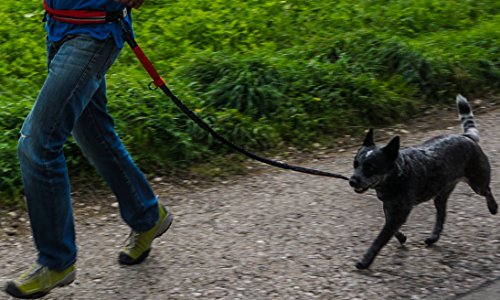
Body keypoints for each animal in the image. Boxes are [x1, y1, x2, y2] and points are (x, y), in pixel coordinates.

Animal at [350, 95, 498, 270]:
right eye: (355, 164)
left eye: (370, 167)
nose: (352, 181)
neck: (397, 174)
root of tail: (466, 137)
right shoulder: (389, 207)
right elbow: (391, 228)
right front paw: (402, 237)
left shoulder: (399, 212)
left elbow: (379, 239)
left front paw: (365, 260)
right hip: (440, 195)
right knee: (441, 216)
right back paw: (433, 237)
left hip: (477, 182)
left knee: (487, 190)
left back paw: (493, 207)